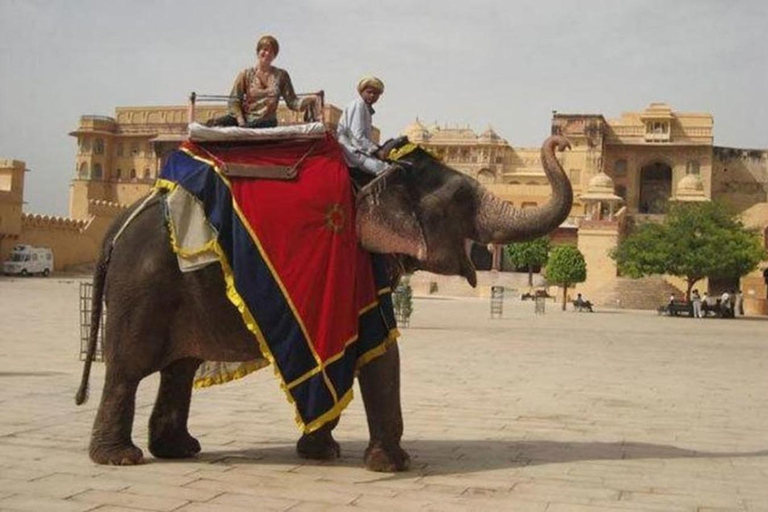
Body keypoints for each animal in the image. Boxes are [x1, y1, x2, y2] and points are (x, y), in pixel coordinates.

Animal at [76, 133, 568, 472]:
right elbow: (381, 350)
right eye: (463, 200)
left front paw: (323, 453)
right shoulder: (355, 265)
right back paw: (121, 458)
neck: (373, 176)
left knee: (179, 368)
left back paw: (179, 450)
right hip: (142, 287)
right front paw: (394, 466)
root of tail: (116, 226)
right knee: (128, 369)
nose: (560, 140)